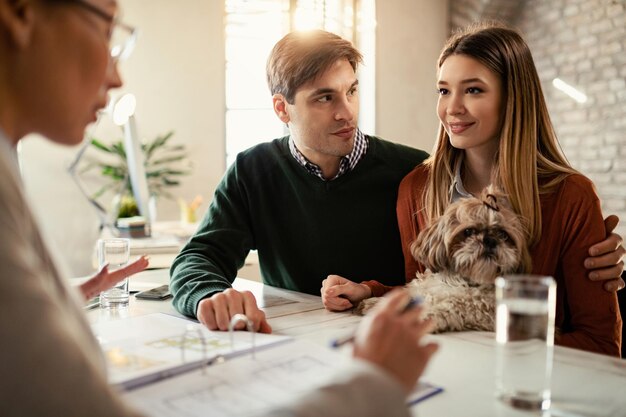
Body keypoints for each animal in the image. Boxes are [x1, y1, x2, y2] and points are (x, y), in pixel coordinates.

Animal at [356, 188, 528, 332]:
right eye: (468, 231)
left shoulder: (488, 309)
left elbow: (457, 305)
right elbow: (408, 293)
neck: (462, 280)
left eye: (503, 235)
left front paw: (424, 316)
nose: (490, 240)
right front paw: (376, 303)